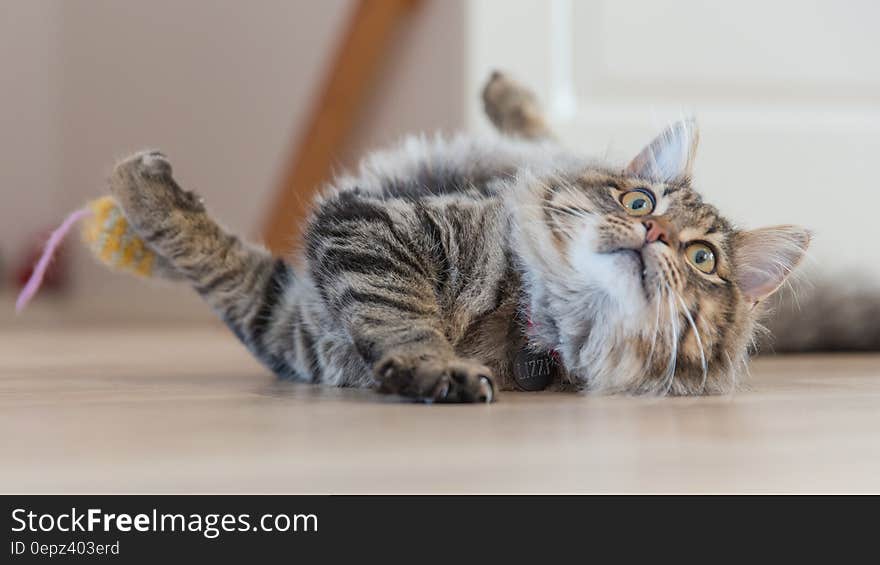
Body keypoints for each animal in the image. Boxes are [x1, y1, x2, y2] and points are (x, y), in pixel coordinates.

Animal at [105, 70, 812, 400]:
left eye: (703, 258)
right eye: (639, 200)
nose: (654, 229)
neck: (537, 323)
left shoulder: (295, 314)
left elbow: (389, 315)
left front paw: (435, 371)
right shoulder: (357, 243)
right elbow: (206, 248)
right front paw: (135, 181)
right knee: (543, 138)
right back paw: (503, 90)